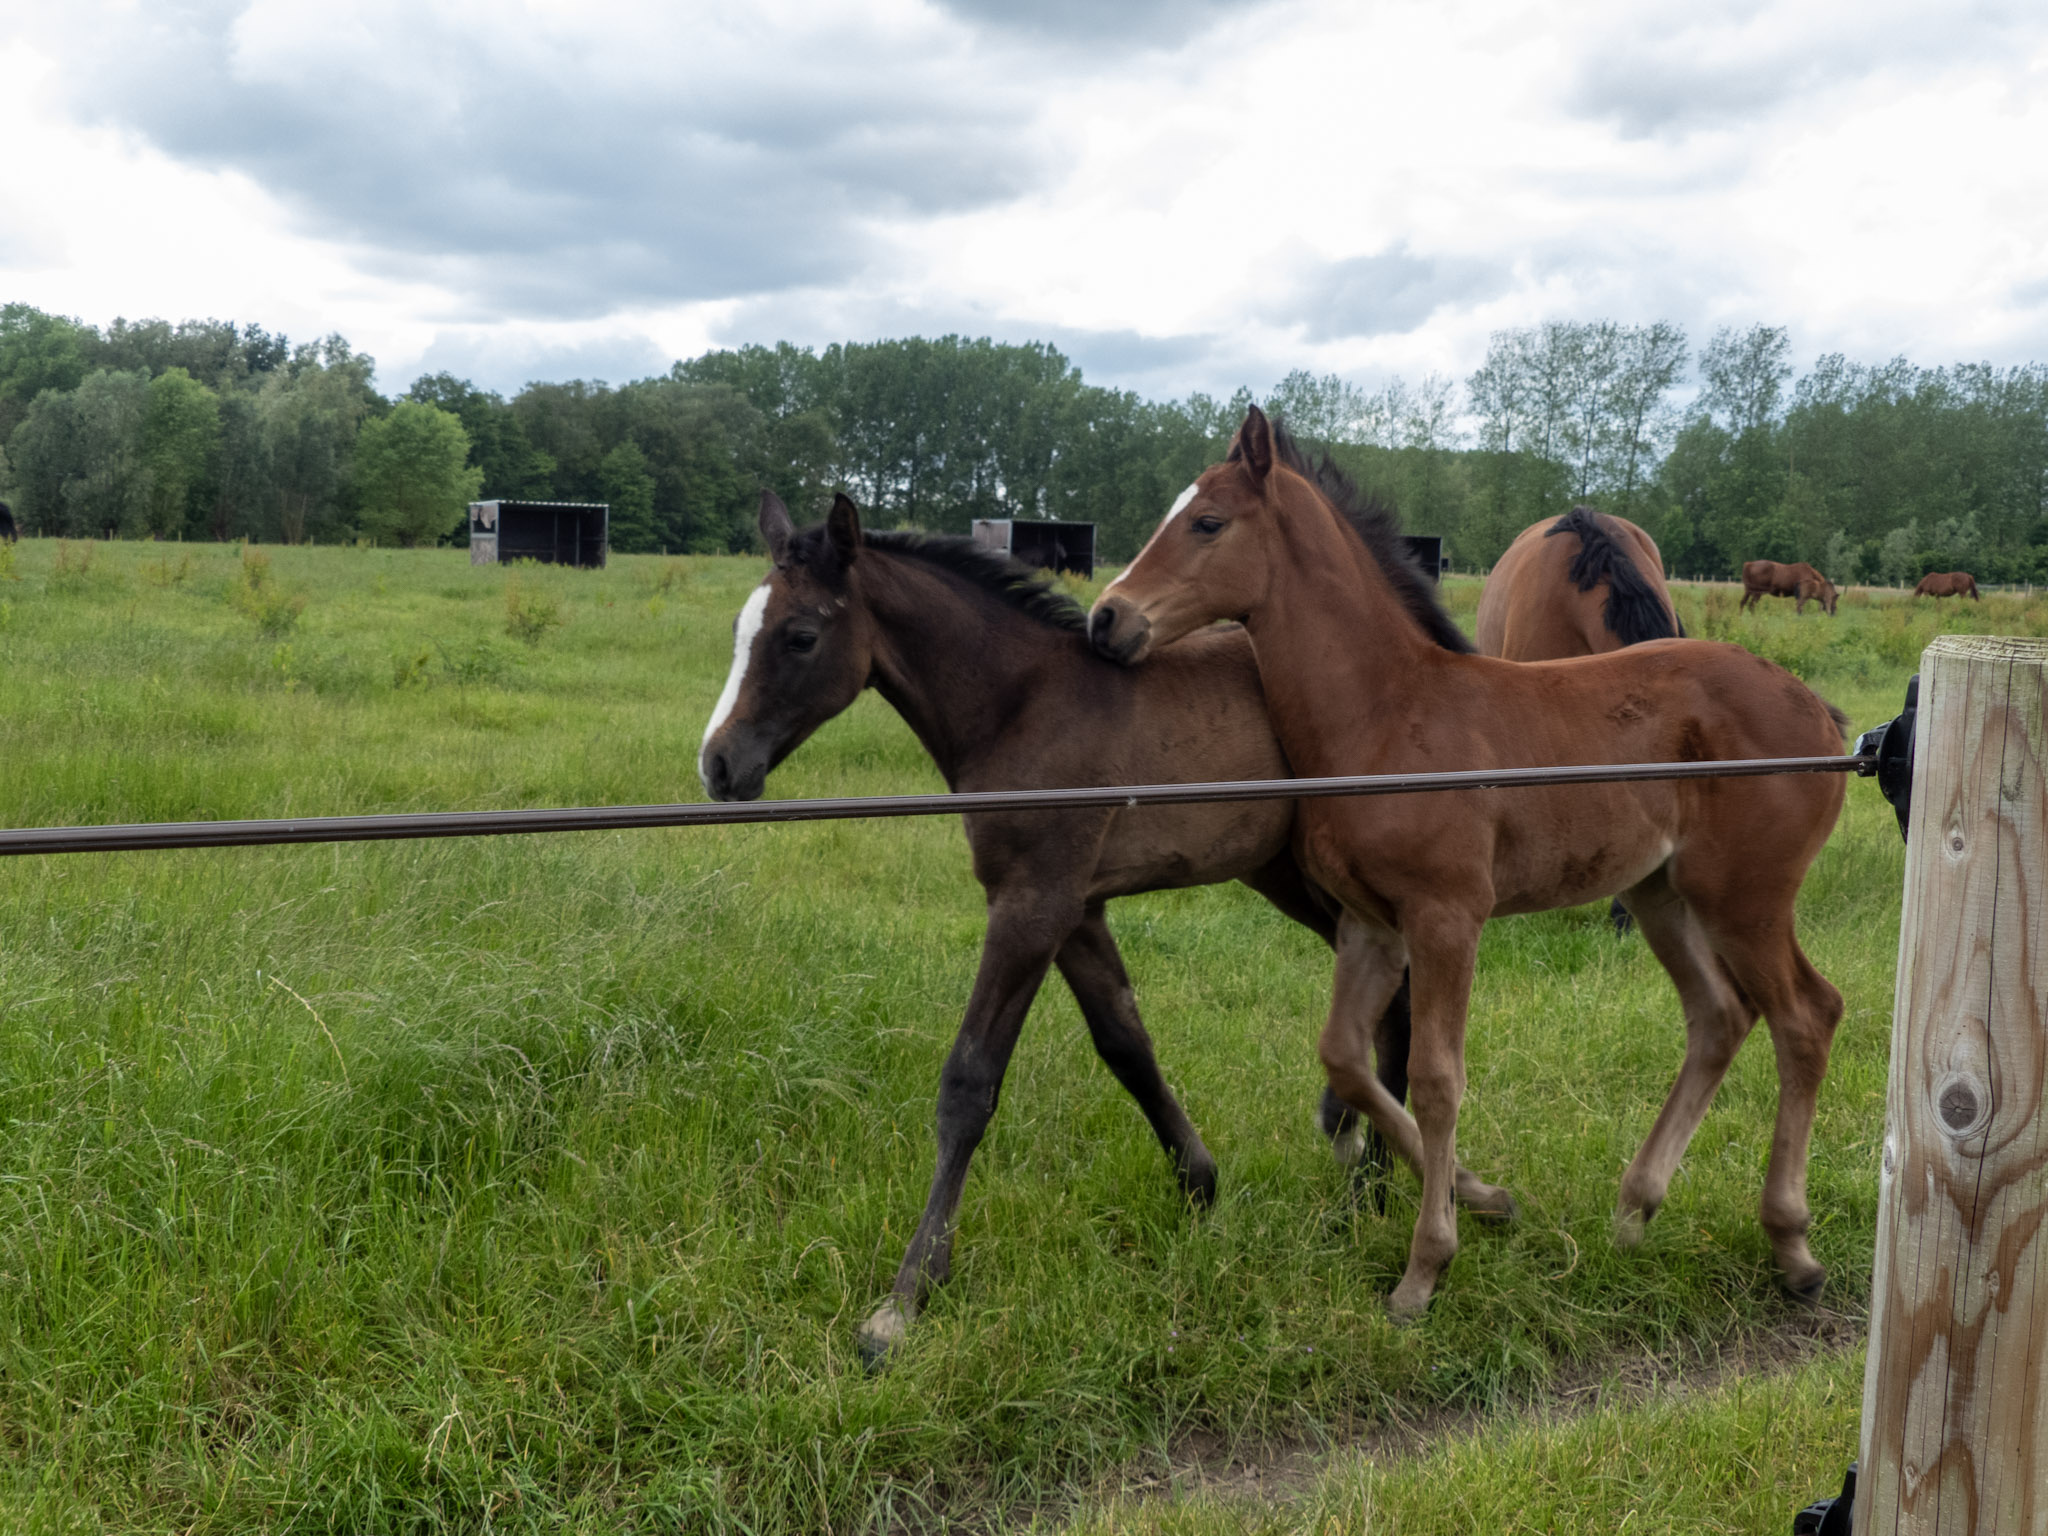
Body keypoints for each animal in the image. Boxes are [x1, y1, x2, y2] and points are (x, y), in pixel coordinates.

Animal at [699, 490, 1411, 1364]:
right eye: (742, 629)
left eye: (800, 636)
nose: (719, 766)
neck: (1021, 706)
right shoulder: (1074, 909)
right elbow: (1126, 1045)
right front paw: (1201, 1188)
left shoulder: (1030, 905)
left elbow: (969, 1084)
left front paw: (905, 1299)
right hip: (1282, 872)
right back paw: (1368, 1169)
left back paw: (1374, 1179)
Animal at [1089, 406, 1849, 1321]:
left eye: (1207, 522)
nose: (1107, 618)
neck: (1385, 715)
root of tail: (1820, 711)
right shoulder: (1371, 923)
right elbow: (1345, 1058)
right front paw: (1485, 1199)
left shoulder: (1447, 916)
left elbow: (1435, 1076)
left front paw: (1425, 1269)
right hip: (1661, 894)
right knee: (1719, 1016)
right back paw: (1635, 1210)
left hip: (1746, 897)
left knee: (1805, 1016)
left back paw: (1792, 1245)